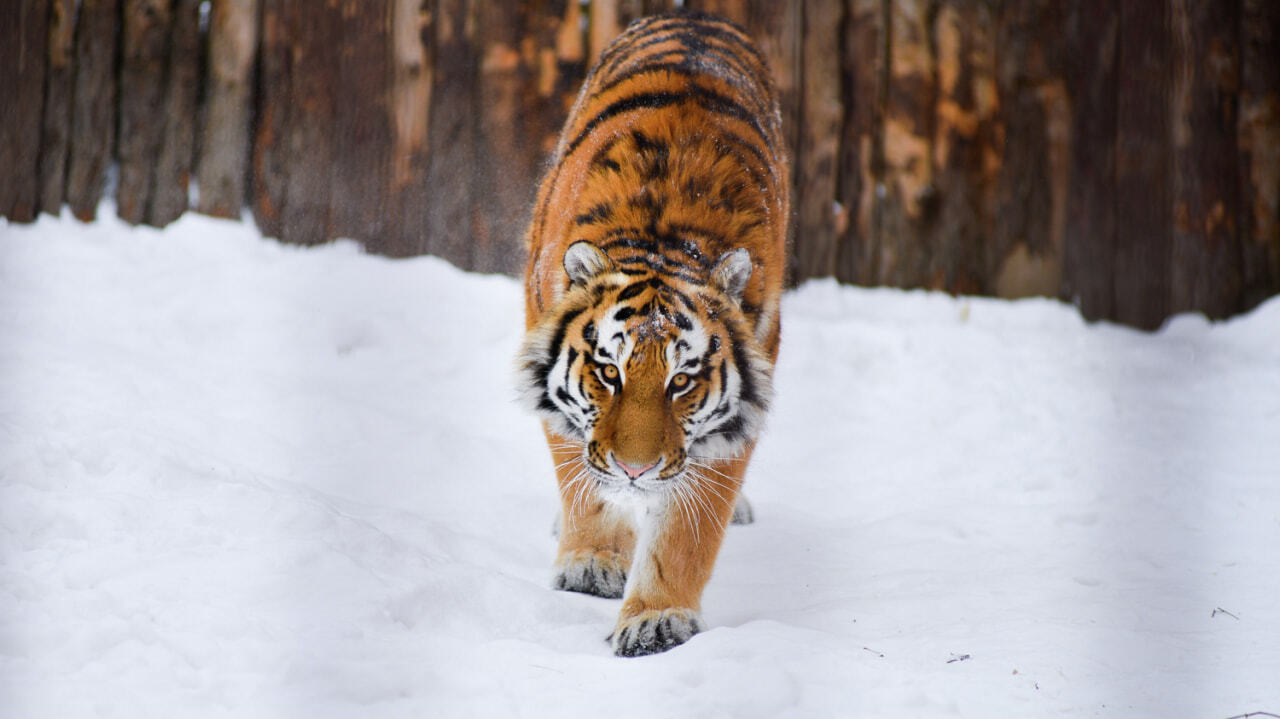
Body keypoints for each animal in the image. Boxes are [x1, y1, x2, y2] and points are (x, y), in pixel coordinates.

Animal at [514, 9, 783, 655]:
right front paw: (591, 564)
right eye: (609, 372)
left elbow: (690, 526)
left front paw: (657, 619)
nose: (635, 471)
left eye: (682, 381)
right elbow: (580, 476)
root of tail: (693, 14)